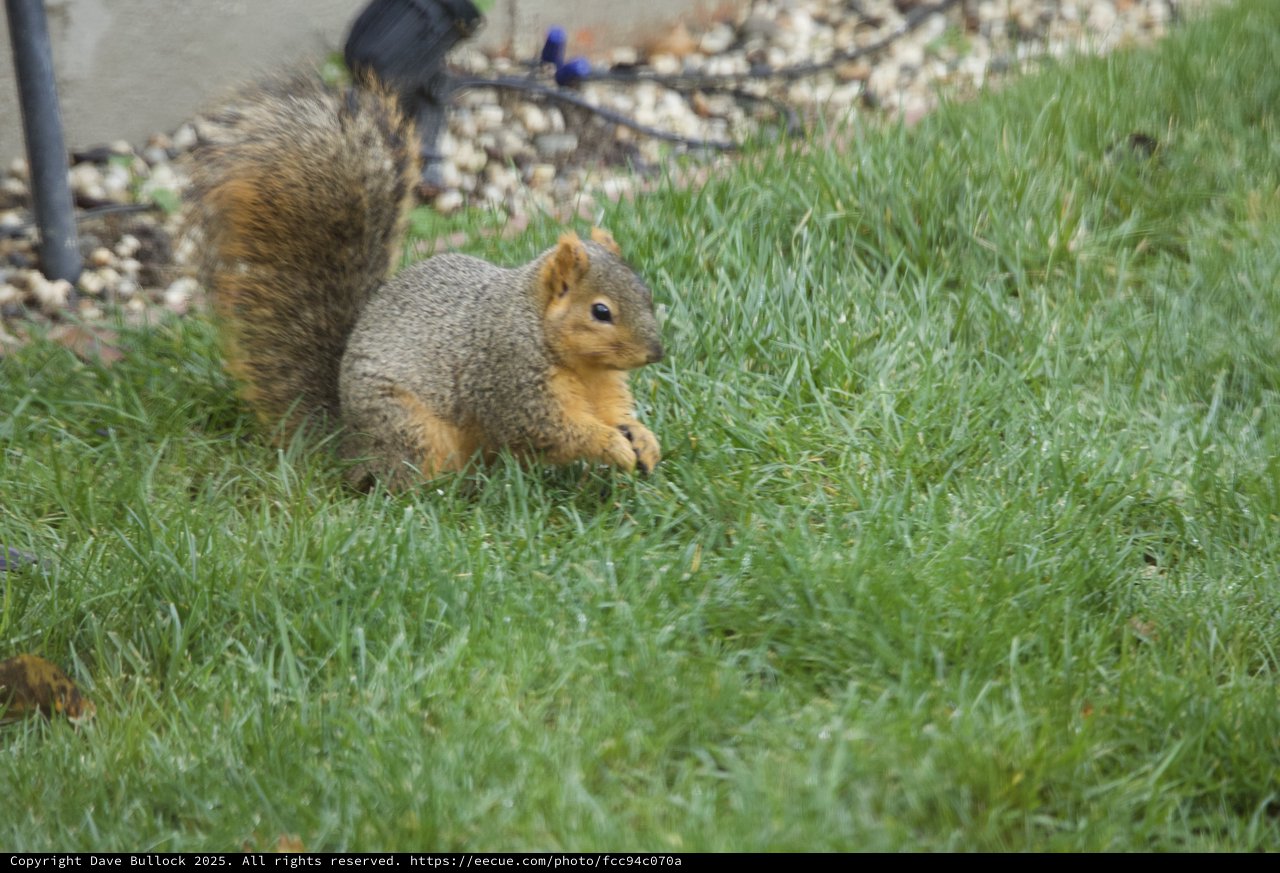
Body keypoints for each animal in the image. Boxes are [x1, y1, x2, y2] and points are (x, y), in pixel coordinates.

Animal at [187, 73, 664, 490]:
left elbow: (614, 413)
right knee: (405, 479)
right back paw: (447, 492)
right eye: (600, 311)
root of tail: (349, 445)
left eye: (646, 294)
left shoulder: (602, 387)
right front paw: (609, 444)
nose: (656, 353)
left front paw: (642, 438)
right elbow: (547, 429)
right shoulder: (510, 377)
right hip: (409, 426)